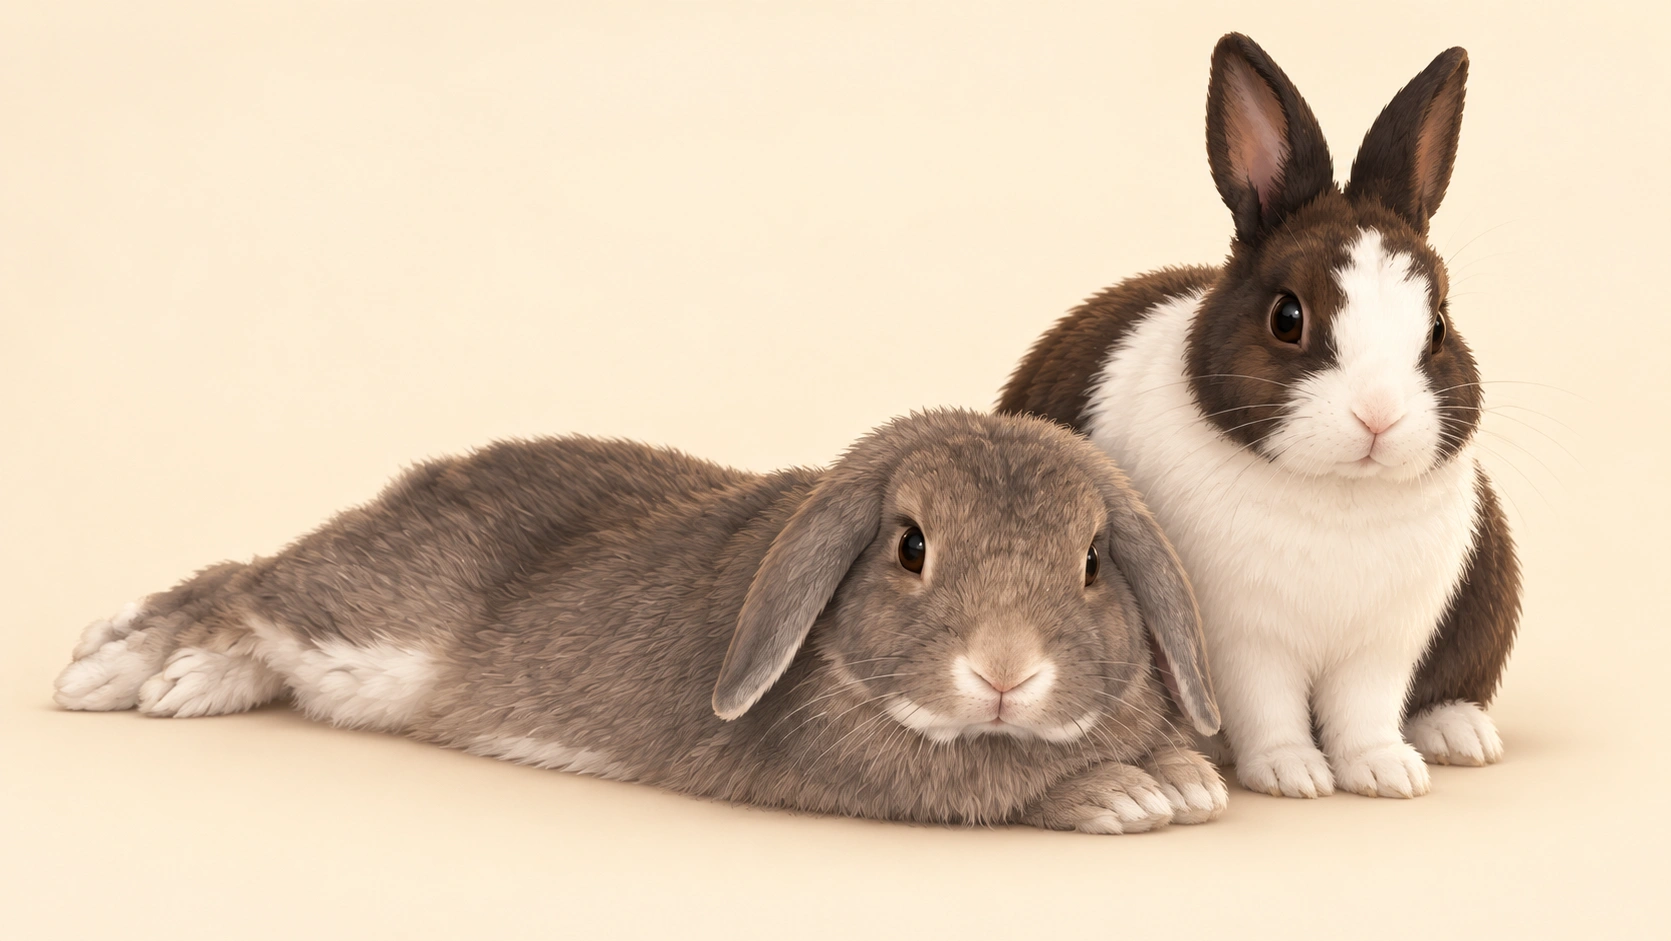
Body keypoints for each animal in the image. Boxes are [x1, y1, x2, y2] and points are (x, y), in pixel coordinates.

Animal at [53, 409, 1228, 834]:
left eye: (1092, 562)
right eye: (910, 546)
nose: (1004, 672)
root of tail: (419, 483)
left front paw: (1183, 776)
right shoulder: (853, 765)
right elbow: (996, 786)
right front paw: (1125, 792)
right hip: (370, 616)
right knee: (246, 584)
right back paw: (121, 670)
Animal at [998, 34, 1520, 800]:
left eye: (1437, 327)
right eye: (1286, 317)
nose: (1378, 418)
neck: (1339, 494)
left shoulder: (1384, 640)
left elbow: (1365, 709)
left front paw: (1385, 773)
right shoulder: (1240, 641)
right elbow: (1266, 706)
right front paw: (1293, 774)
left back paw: (1461, 736)